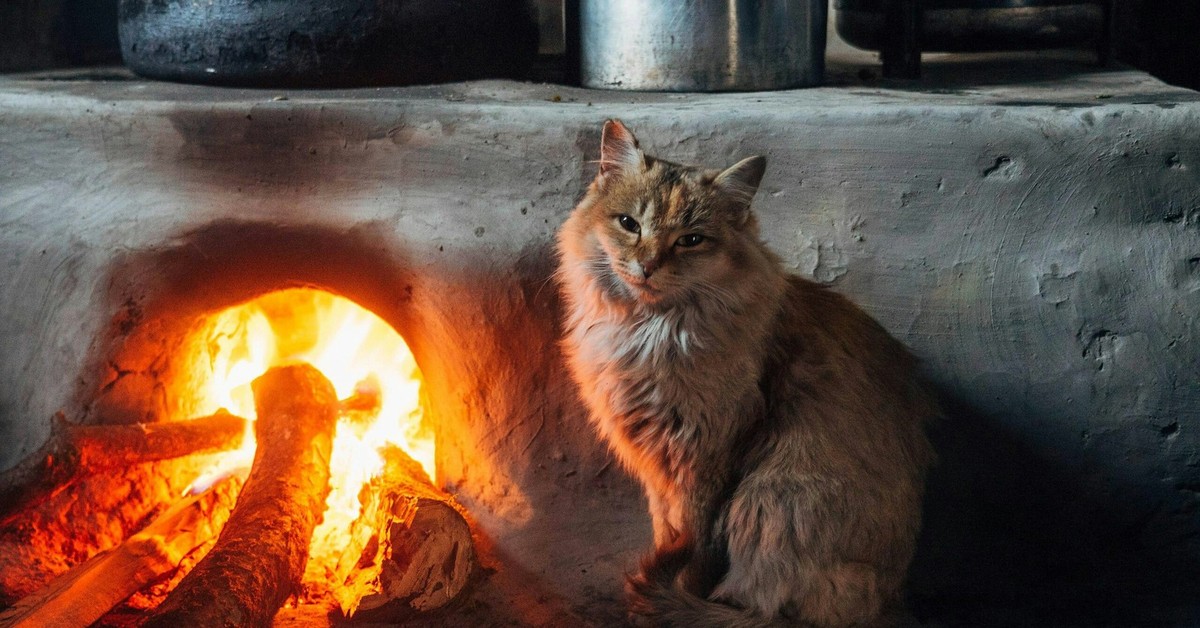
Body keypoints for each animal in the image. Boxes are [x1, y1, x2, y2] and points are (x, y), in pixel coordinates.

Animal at [552, 119, 936, 628]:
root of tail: (892, 602)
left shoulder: (706, 461)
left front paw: (668, 602)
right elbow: (665, 534)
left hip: (772, 497)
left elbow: (691, 553)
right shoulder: (659, 468)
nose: (648, 265)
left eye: (690, 240)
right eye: (629, 224)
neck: (648, 331)